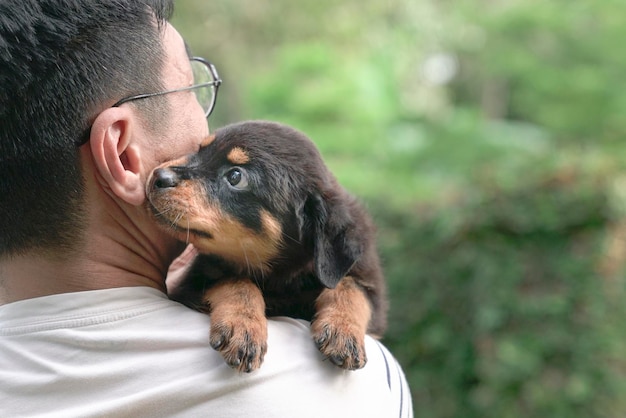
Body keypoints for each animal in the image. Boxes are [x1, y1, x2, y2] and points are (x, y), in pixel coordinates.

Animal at [146, 120, 386, 372]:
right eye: (200, 150)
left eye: (235, 176)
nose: (158, 175)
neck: (282, 276)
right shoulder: (191, 283)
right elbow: (236, 280)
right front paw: (243, 328)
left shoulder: (370, 286)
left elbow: (351, 287)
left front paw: (343, 331)